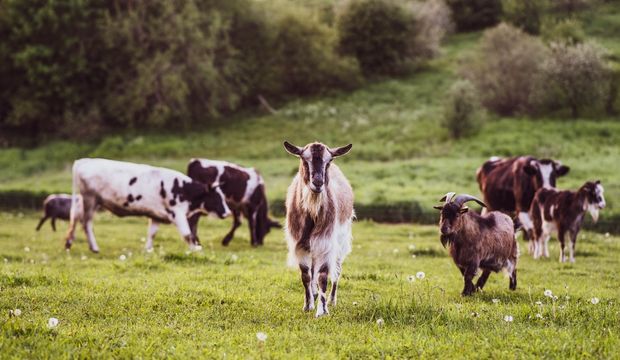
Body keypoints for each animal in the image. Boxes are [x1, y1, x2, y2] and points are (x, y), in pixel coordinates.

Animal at [65, 159, 230, 255]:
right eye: (216, 197)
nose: (227, 213)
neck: (182, 189)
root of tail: (85, 161)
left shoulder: (156, 215)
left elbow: (152, 233)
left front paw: (148, 250)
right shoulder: (177, 213)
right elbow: (187, 234)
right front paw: (194, 249)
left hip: (86, 201)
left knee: (75, 218)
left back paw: (69, 243)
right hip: (90, 200)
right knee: (86, 223)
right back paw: (94, 248)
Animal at [284, 141, 354, 318]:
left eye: (329, 161)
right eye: (304, 159)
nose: (317, 182)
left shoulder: (326, 241)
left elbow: (323, 275)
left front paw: (322, 311)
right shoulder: (300, 243)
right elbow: (306, 275)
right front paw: (308, 305)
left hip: (341, 241)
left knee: (336, 271)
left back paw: (332, 300)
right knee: (313, 269)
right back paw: (314, 294)